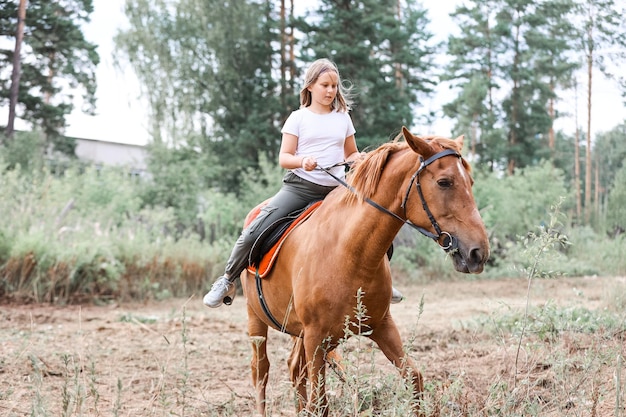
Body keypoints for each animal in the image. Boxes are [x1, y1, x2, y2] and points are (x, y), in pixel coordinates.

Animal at [239, 127, 488, 416]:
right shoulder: (315, 338)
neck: (350, 253)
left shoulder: (381, 325)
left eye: (470, 181)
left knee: (294, 369)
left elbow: (413, 378)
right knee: (261, 371)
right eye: (444, 182)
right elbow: (320, 402)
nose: (478, 252)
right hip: (257, 320)